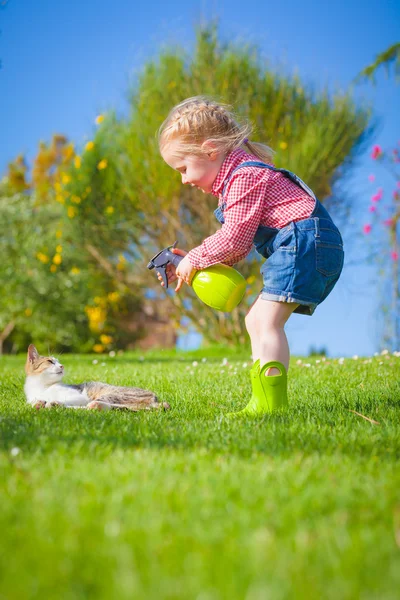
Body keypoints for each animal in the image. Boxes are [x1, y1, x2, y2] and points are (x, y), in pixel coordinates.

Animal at [24, 342, 170, 412]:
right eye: (50, 361)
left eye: (59, 361)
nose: (62, 366)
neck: (42, 387)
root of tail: (155, 398)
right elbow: (33, 402)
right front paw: (39, 403)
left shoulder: (79, 397)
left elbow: (69, 400)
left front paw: (49, 402)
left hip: (109, 395)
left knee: (91, 406)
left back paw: (54, 404)